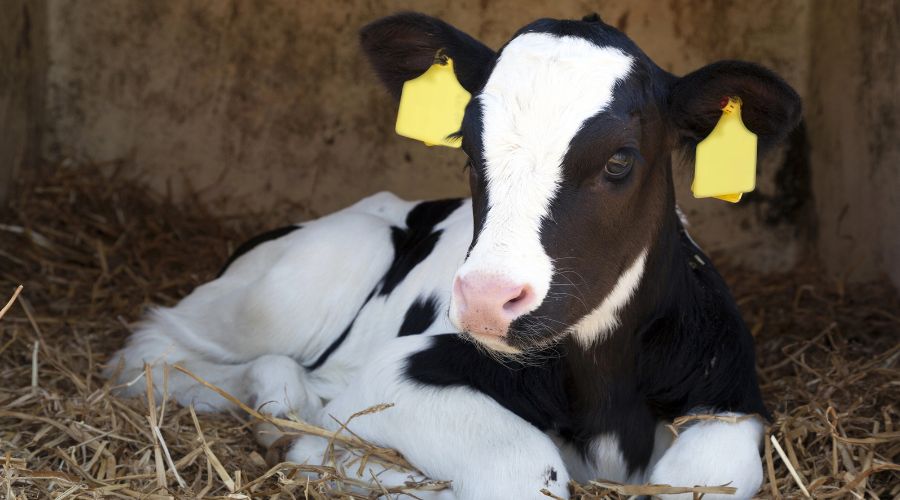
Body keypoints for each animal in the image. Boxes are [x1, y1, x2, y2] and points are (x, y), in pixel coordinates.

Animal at [106, 12, 801, 500]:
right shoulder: (400, 373)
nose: (489, 298)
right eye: (469, 148)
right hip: (302, 277)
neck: (604, 387)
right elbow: (524, 467)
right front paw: (336, 460)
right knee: (152, 352)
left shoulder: (730, 397)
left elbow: (701, 476)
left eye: (619, 161)